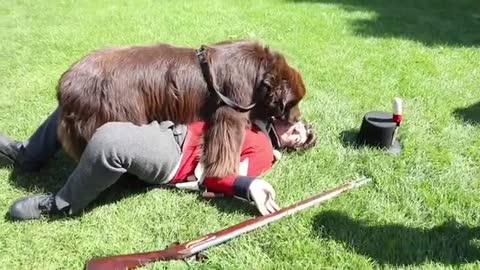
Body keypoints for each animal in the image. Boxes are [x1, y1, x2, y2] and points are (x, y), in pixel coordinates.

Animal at [54, 39, 306, 176]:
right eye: (294, 103)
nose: (298, 119)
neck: (261, 72)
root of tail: (64, 86)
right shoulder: (233, 104)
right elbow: (226, 142)